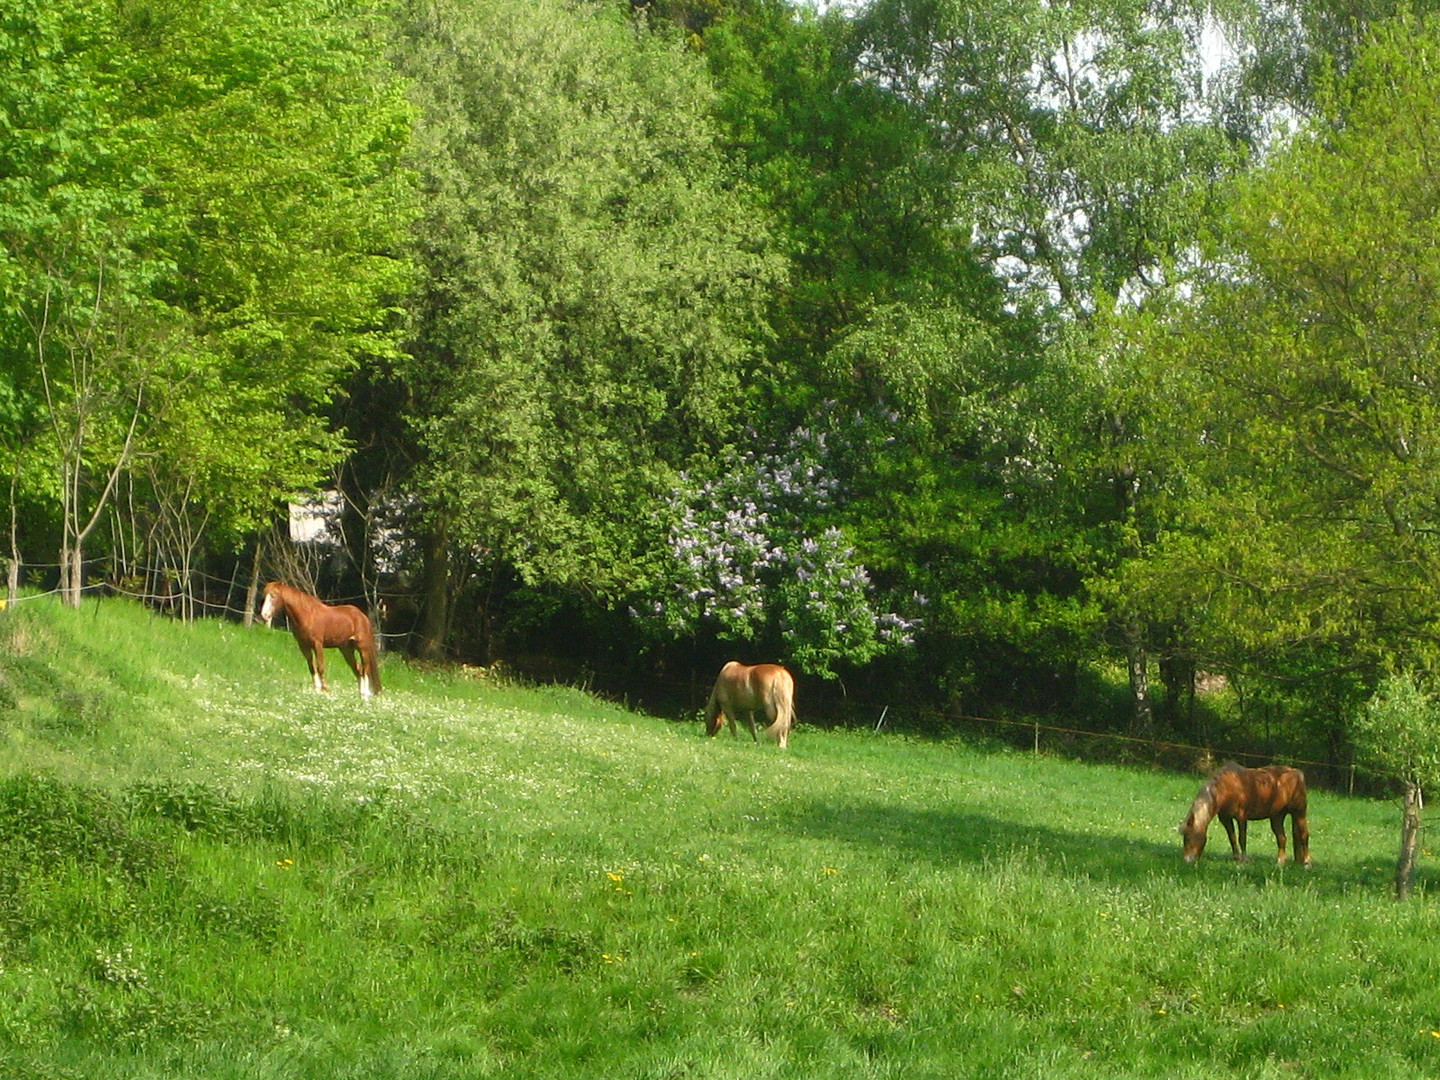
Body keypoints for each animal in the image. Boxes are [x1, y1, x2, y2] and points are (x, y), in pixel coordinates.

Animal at [1175, 766, 1313, 869]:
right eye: (1185, 838)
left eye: (1191, 837)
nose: (1187, 860)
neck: (1227, 787)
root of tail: (1296, 773)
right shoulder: (1225, 819)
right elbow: (1232, 838)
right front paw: (1236, 857)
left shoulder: (1241, 818)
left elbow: (1242, 838)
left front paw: (1244, 859)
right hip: (1277, 817)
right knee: (1282, 838)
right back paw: (1280, 862)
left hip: (1299, 813)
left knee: (1304, 835)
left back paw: (1307, 863)